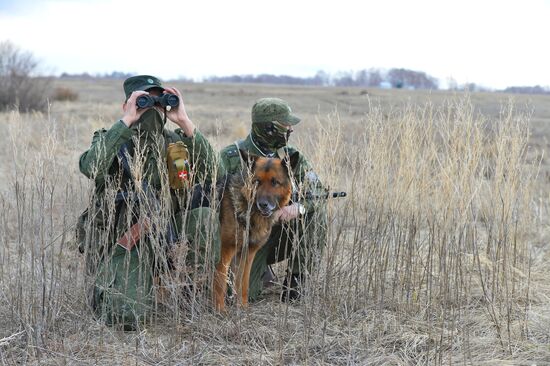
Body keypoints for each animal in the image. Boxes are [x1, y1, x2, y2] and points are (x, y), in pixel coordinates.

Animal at [215, 150, 300, 310]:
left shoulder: (247, 254)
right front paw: (219, 310)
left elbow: (243, 283)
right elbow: (220, 284)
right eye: (257, 182)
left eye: (275, 182)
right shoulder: (224, 252)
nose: (263, 204)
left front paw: (242, 307)